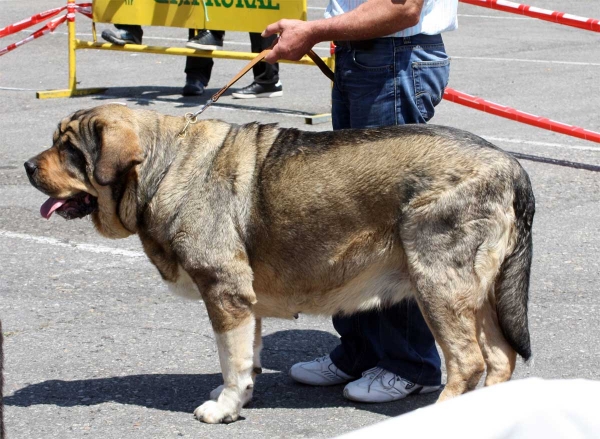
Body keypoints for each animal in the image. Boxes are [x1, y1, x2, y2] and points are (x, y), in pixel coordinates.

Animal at [25, 105, 536, 424]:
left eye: (69, 150)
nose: (29, 166)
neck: (164, 168)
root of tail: (510, 165)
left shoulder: (224, 293)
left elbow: (230, 360)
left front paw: (223, 408)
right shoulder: (244, 301)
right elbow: (246, 357)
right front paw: (238, 398)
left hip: (438, 285)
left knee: (468, 361)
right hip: (478, 294)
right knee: (500, 357)